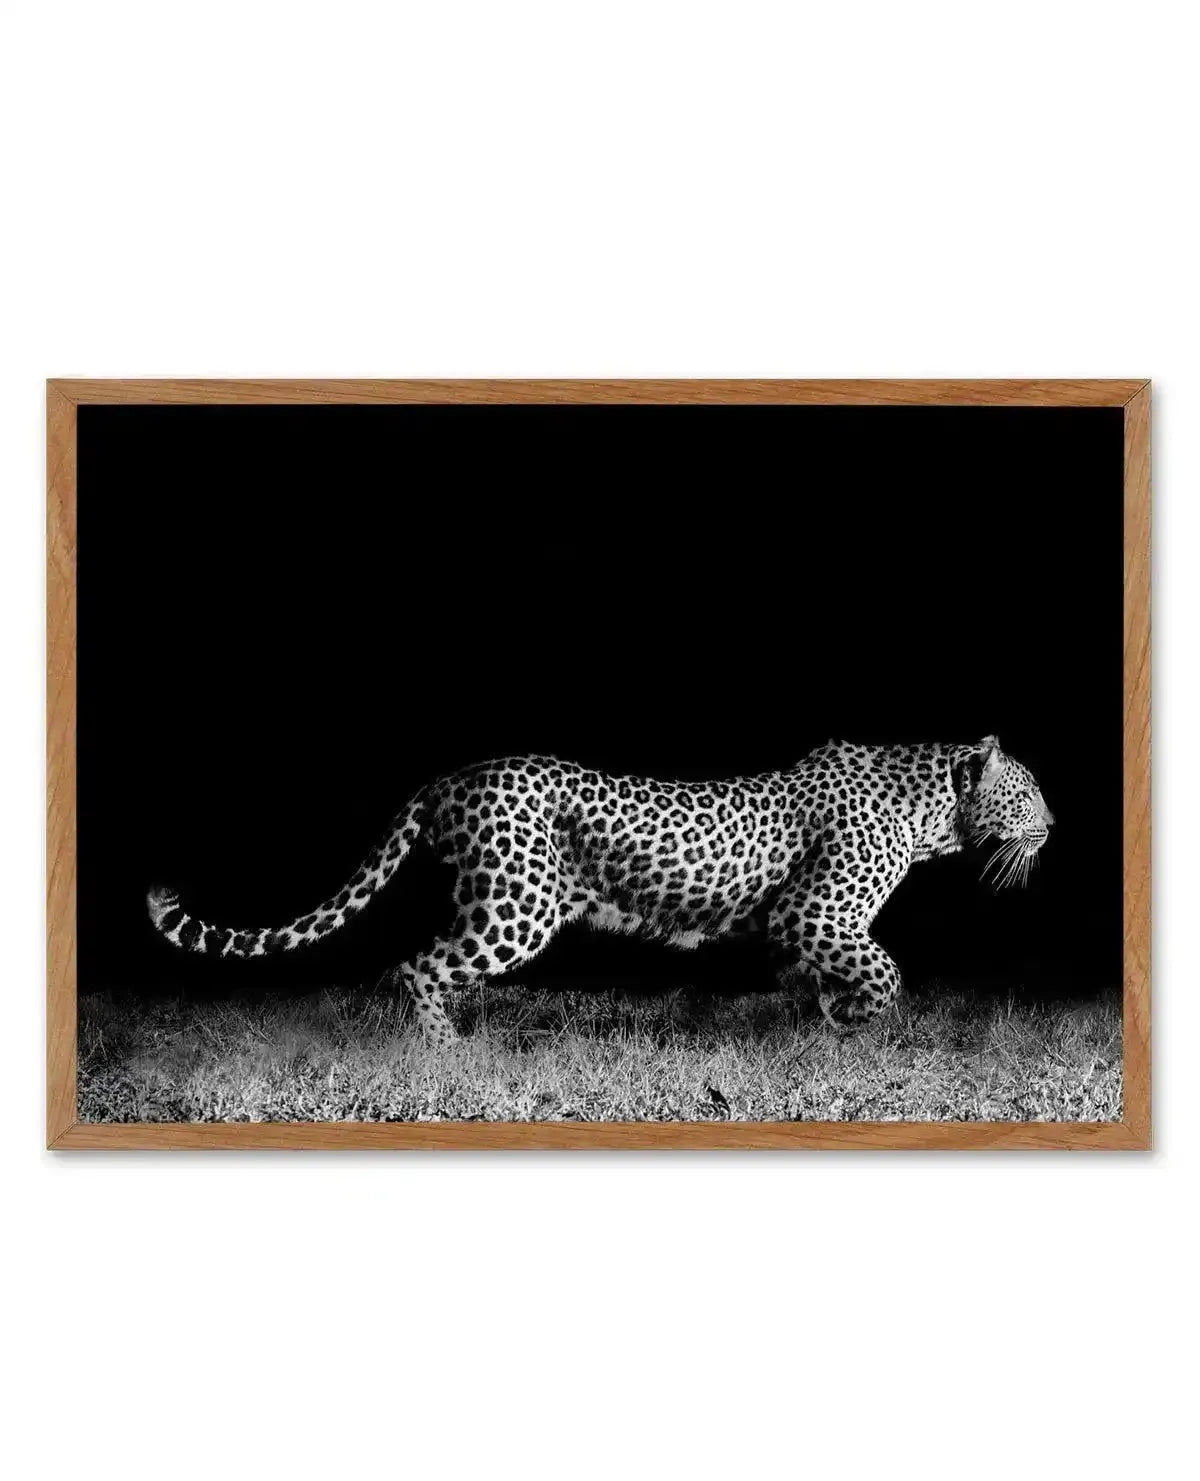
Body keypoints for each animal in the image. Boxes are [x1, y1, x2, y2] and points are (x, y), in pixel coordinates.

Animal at [147, 735, 1053, 1046]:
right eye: (1029, 789)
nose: (1056, 821)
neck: (933, 811)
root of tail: (450, 776)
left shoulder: (799, 927)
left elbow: (820, 976)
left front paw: (824, 1017)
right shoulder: (814, 912)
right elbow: (885, 970)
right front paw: (856, 1019)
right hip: (517, 905)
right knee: (418, 965)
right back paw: (447, 1051)